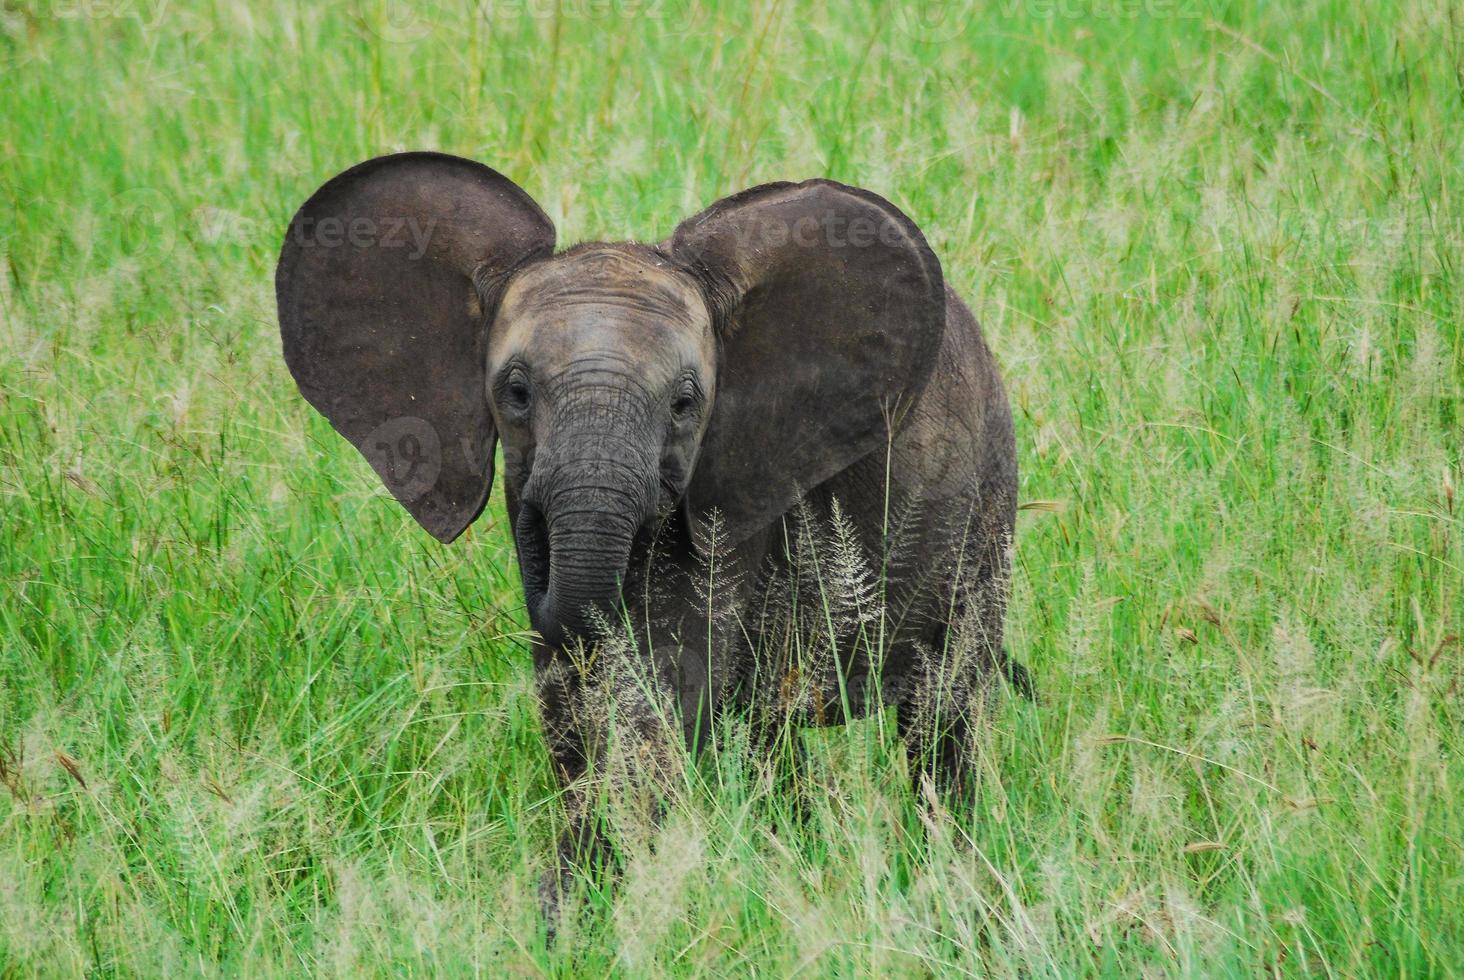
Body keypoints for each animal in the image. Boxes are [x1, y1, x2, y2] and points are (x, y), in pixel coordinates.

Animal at [276, 154, 1030, 908]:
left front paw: (576, 901)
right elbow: (571, 701)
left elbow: (663, 692)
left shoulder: (735, 491)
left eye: (685, 403)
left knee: (942, 714)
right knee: (776, 734)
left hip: (986, 512)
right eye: (516, 392)